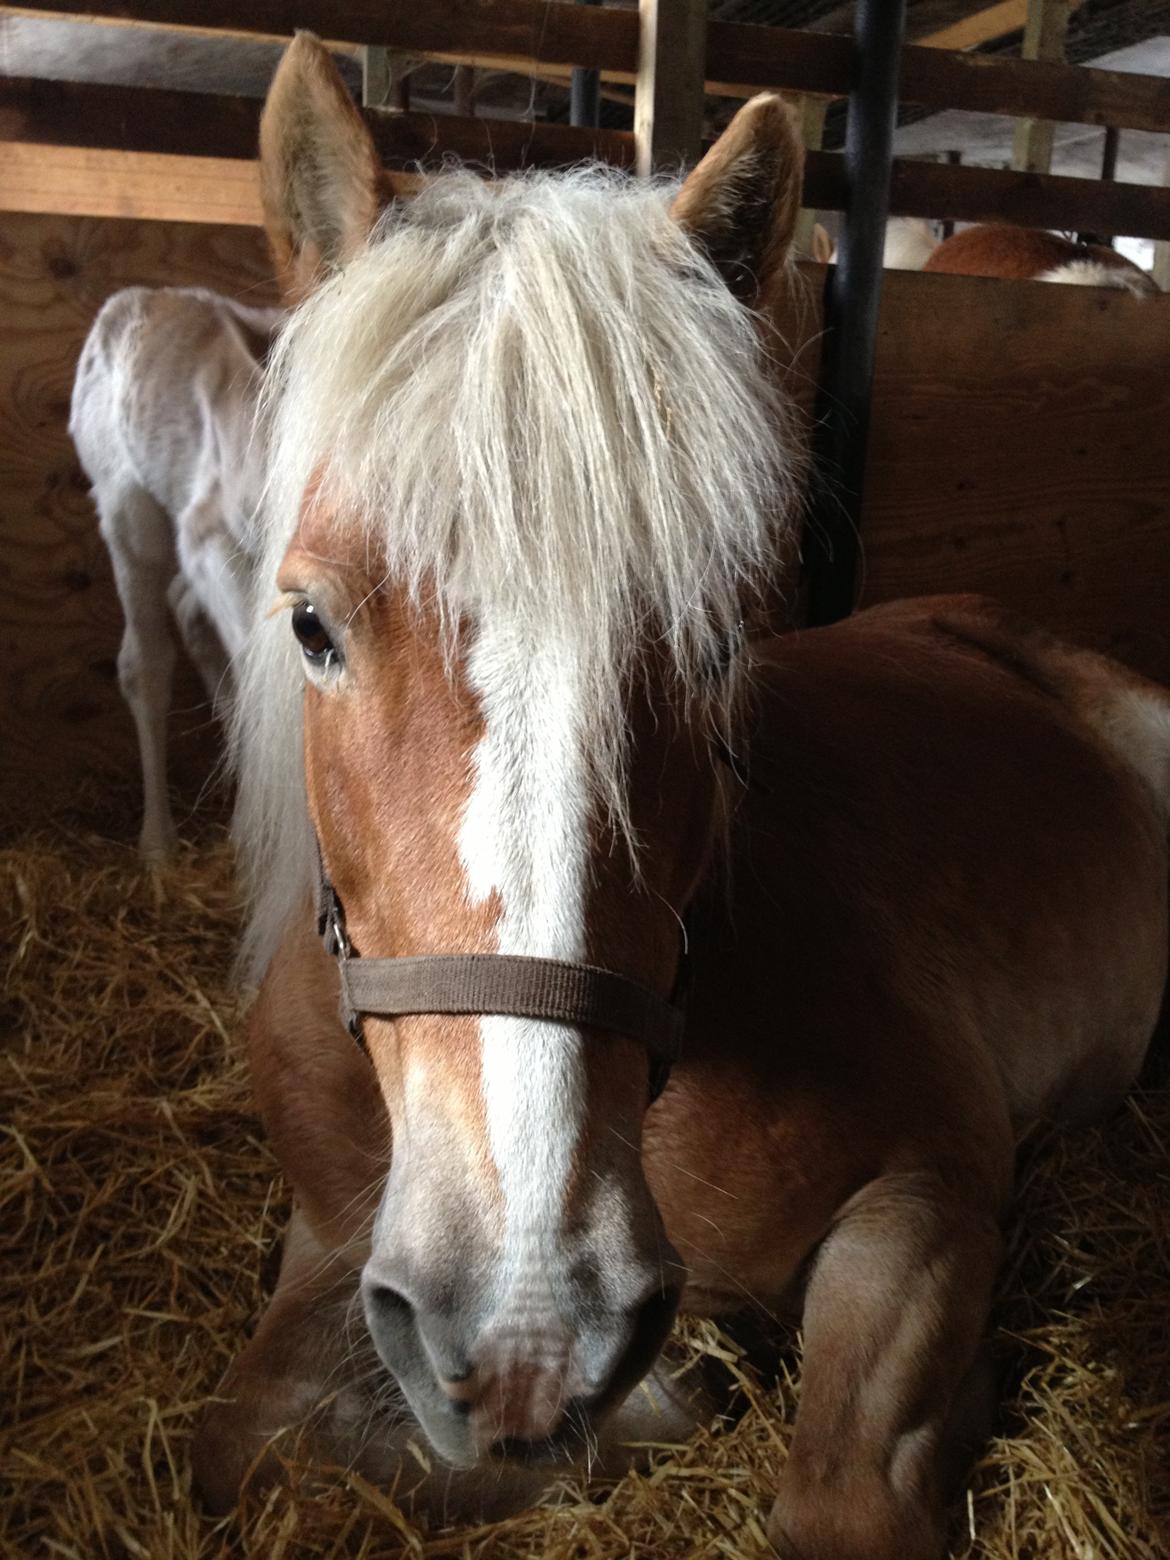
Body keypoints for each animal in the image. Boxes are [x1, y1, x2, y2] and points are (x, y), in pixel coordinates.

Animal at [197, 30, 1170, 1553]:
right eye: (309, 625)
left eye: (715, 643)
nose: (534, 1309)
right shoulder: (333, 1248)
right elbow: (248, 1444)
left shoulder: (935, 1184)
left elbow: (836, 1497)